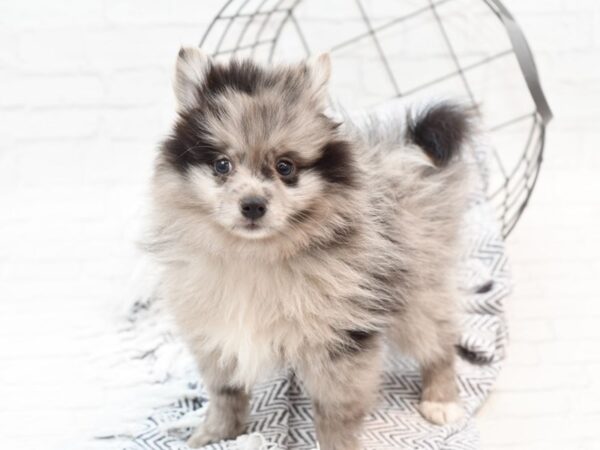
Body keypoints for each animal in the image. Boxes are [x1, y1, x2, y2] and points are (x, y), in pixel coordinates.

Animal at [148, 46, 472, 450]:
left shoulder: (339, 341)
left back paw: (440, 399)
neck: (254, 254)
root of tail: (398, 159)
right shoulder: (216, 330)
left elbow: (335, 413)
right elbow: (225, 393)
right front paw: (213, 435)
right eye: (222, 165)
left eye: (285, 167)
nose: (253, 205)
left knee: (438, 340)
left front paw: (337, 444)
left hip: (416, 289)